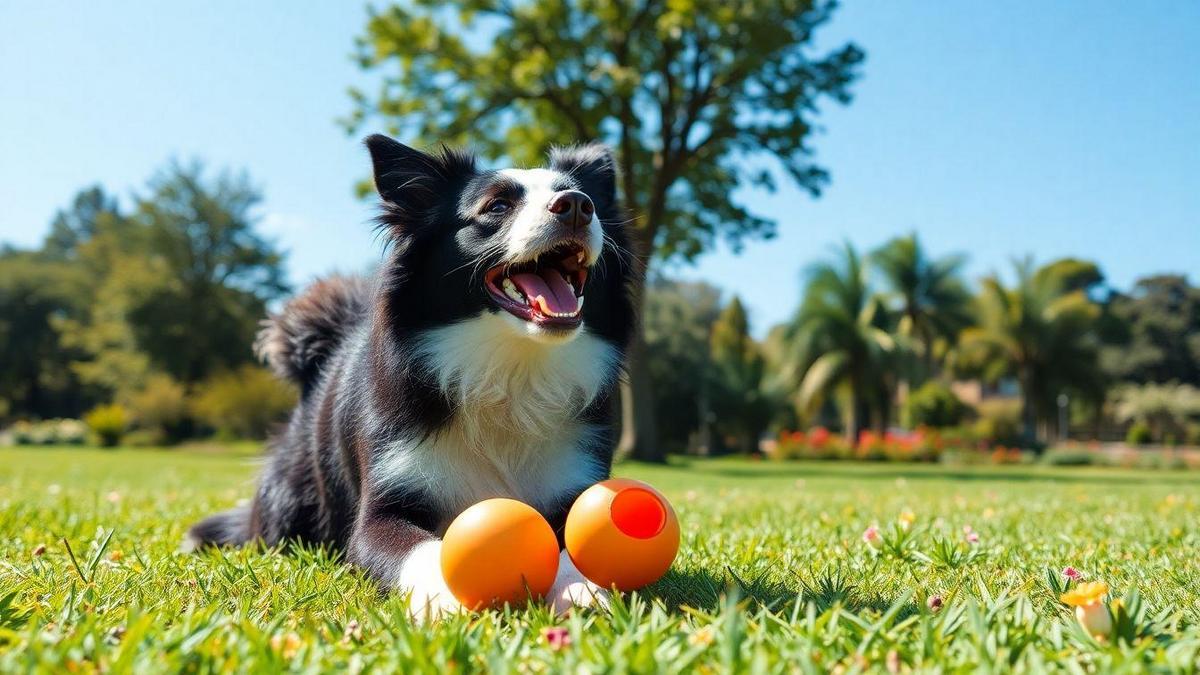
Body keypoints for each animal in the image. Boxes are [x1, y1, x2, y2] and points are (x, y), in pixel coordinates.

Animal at [182, 132, 638, 614]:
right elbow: (419, 548)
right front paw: (449, 600)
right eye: (497, 206)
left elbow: (574, 543)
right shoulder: (381, 508)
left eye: (586, 199)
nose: (577, 206)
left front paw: (582, 590)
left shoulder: (575, 480)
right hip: (289, 496)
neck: (510, 370)